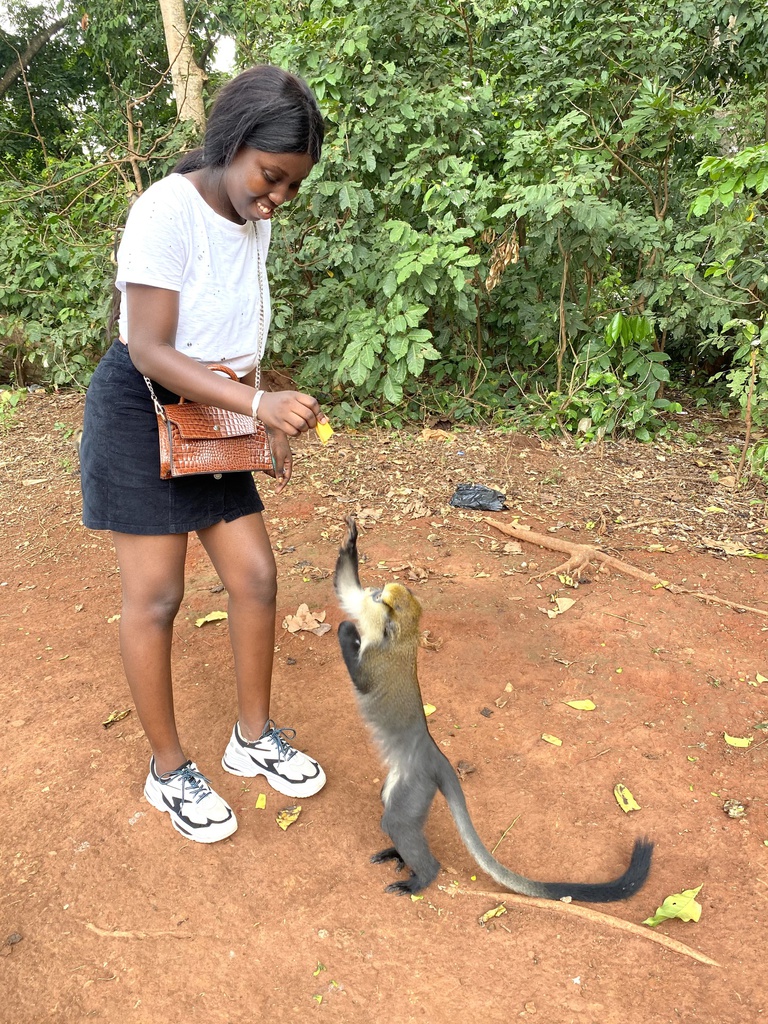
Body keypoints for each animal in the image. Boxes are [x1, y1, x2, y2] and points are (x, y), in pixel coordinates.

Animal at [331, 516, 655, 901]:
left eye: (385, 600)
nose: (376, 590)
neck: (400, 634)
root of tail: (434, 755)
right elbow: (347, 591)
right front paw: (351, 542)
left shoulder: (378, 655)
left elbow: (360, 667)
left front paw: (346, 628)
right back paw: (400, 855)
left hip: (414, 785)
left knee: (396, 820)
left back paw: (423, 876)